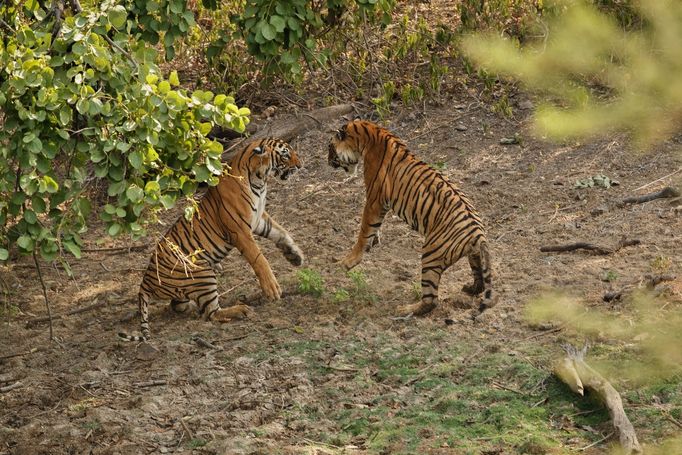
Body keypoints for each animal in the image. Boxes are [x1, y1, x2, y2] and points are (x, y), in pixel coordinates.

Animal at [119, 139, 302, 342]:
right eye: (285, 155)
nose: (300, 165)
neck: (260, 182)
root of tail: (145, 281)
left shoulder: (258, 219)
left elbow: (282, 232)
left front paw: (295, 255)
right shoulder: (240, 231)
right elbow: (259, 259)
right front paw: (272, 288)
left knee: (179, 305)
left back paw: (193, 306)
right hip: (203, 274)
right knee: (211, 314)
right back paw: (241, 310)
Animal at [326, 120, 492, 318]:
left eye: (330, 148)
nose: (327, 162)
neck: (369, 134)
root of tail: (479, 234)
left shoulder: (374, 200)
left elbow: (364, 230)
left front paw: (347, 262)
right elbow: (373, 228)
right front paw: (374, 241)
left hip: (431, 254)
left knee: (431, 301)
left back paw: (405, 310)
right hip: (473, 256)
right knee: (479, 281)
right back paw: (469, 288)